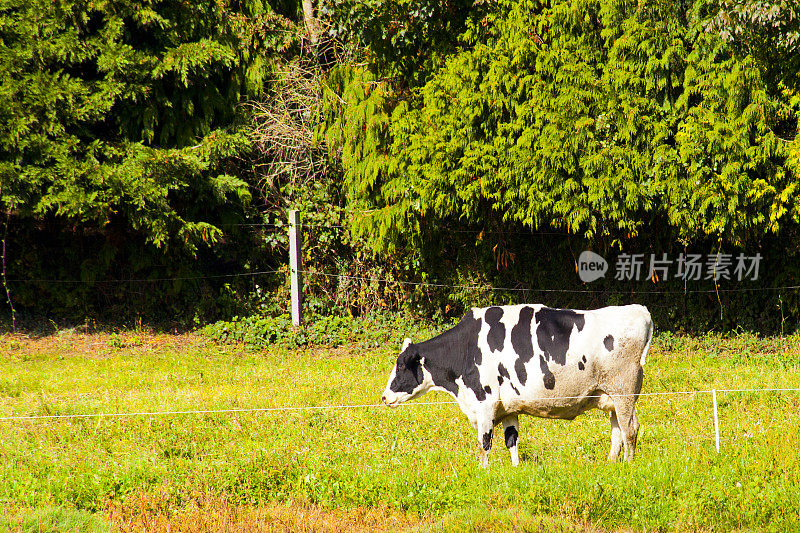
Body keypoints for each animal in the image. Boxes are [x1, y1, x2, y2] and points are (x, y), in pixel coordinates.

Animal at [380, 304, 648, 466]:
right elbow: (512, 440)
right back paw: (612, 463)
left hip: (624, 392)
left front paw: (483, 470)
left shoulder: (485, 402)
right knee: (617, 431)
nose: (383, 397)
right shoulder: (508, 407)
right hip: (610, 396)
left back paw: (629, 465)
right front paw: (516, 469)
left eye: (401, 366)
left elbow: (484, 443)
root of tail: (639, 310)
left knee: (630, 429)